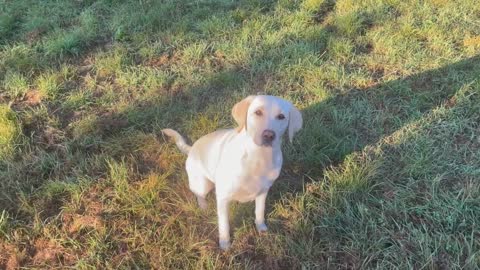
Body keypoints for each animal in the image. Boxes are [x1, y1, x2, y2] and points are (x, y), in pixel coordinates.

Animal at [163, 94, 302, 249]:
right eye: (258, 112)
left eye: (281, 117)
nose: (269, 135)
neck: (258, 157)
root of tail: (191, 148)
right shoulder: (223, 197)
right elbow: (224, 223)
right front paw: (225, 244)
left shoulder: (263, 192)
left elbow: (259, 212)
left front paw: (261, 228)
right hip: (202, 184)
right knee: (199, 194)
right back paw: (204, 206)